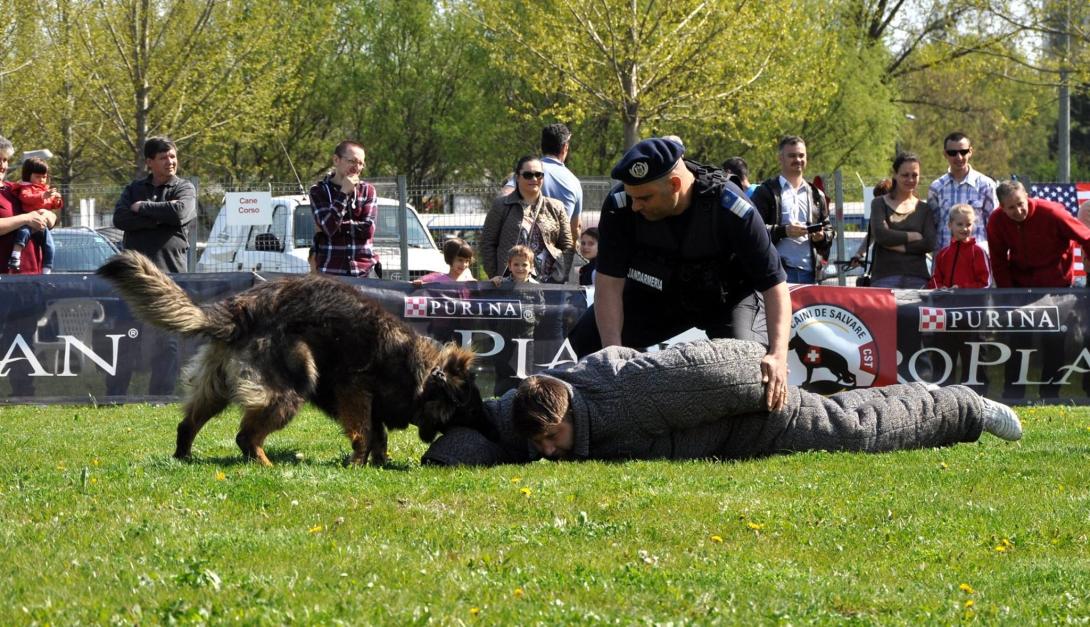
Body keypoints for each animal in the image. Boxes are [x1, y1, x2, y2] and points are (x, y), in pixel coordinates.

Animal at [95, 251, 488, 466]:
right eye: (470, 407)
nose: (487, 425)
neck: (420, 371)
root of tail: (240, 310)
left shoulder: (371, 403)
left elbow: (378, 436)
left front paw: (379, 462)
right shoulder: (354, 388)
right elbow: (363, 433)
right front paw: (357, 464)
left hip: (216, 388)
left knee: (187, 424)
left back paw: (183, 458)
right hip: (292, 386)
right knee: (245, 436)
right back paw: (265, 465)